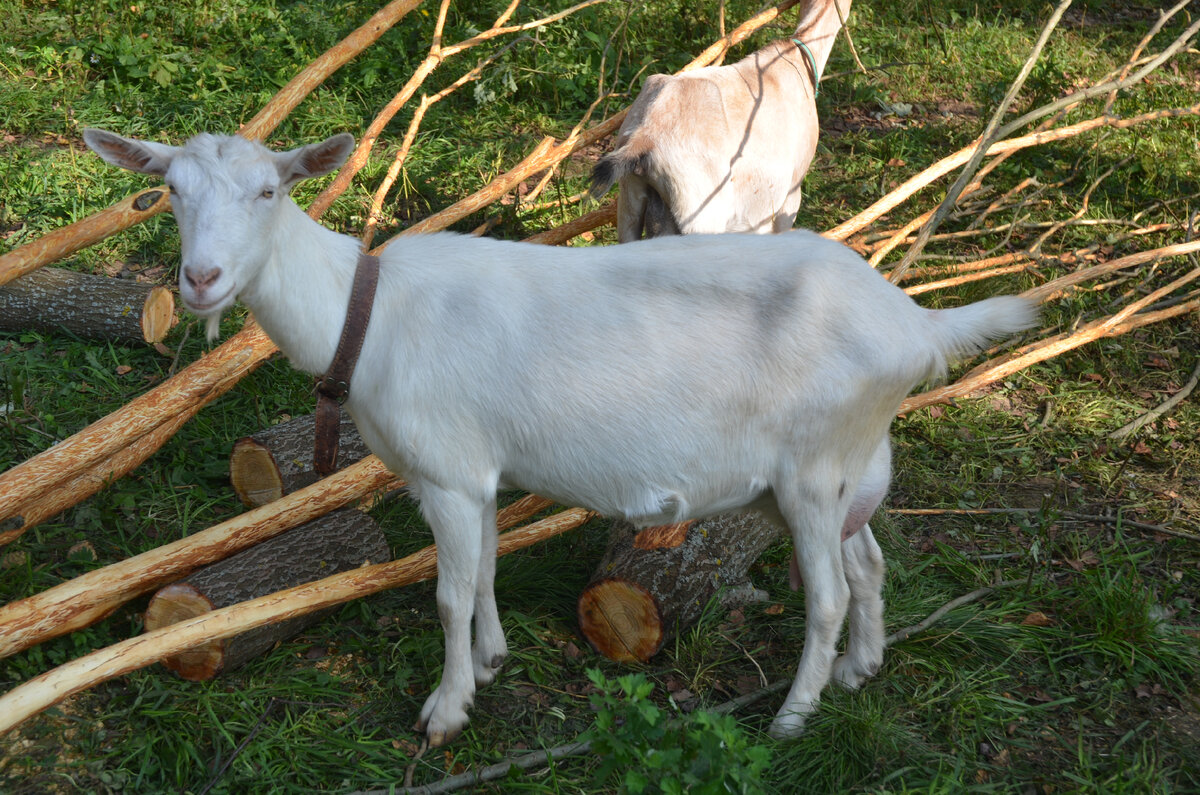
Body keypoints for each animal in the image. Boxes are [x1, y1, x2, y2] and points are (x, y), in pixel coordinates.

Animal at [87, 129, 1041, 749]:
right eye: (170, 191)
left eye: (269, 190)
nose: (201, 279)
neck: (367, 316)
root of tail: (915, 322)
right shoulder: (476, 472)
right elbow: (481, 572)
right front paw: (492, 659)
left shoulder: (446, 469)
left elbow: (446, 592)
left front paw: (446, 710)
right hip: (845, 463)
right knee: (868, 561)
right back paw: (860, 671)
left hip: (810, 468)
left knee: (831, 595)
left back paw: (793, 716)